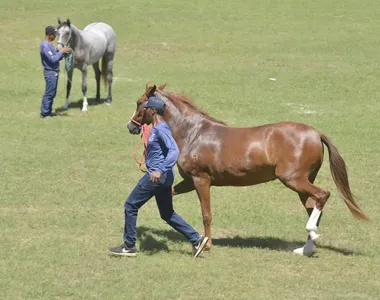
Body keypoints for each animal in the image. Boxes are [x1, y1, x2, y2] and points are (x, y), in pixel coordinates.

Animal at [127, 84, 368, 255]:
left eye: (139, 103)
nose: (130, 126)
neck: (193, 134)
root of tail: (316, 133)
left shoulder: (201, 179)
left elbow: (206, 214)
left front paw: (206, 244)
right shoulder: (189, 181)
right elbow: (170, 194)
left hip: (294, 180)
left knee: (322, 195)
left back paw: (311, 236)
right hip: (302, 183)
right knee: (313, 205)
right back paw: (306, 248)